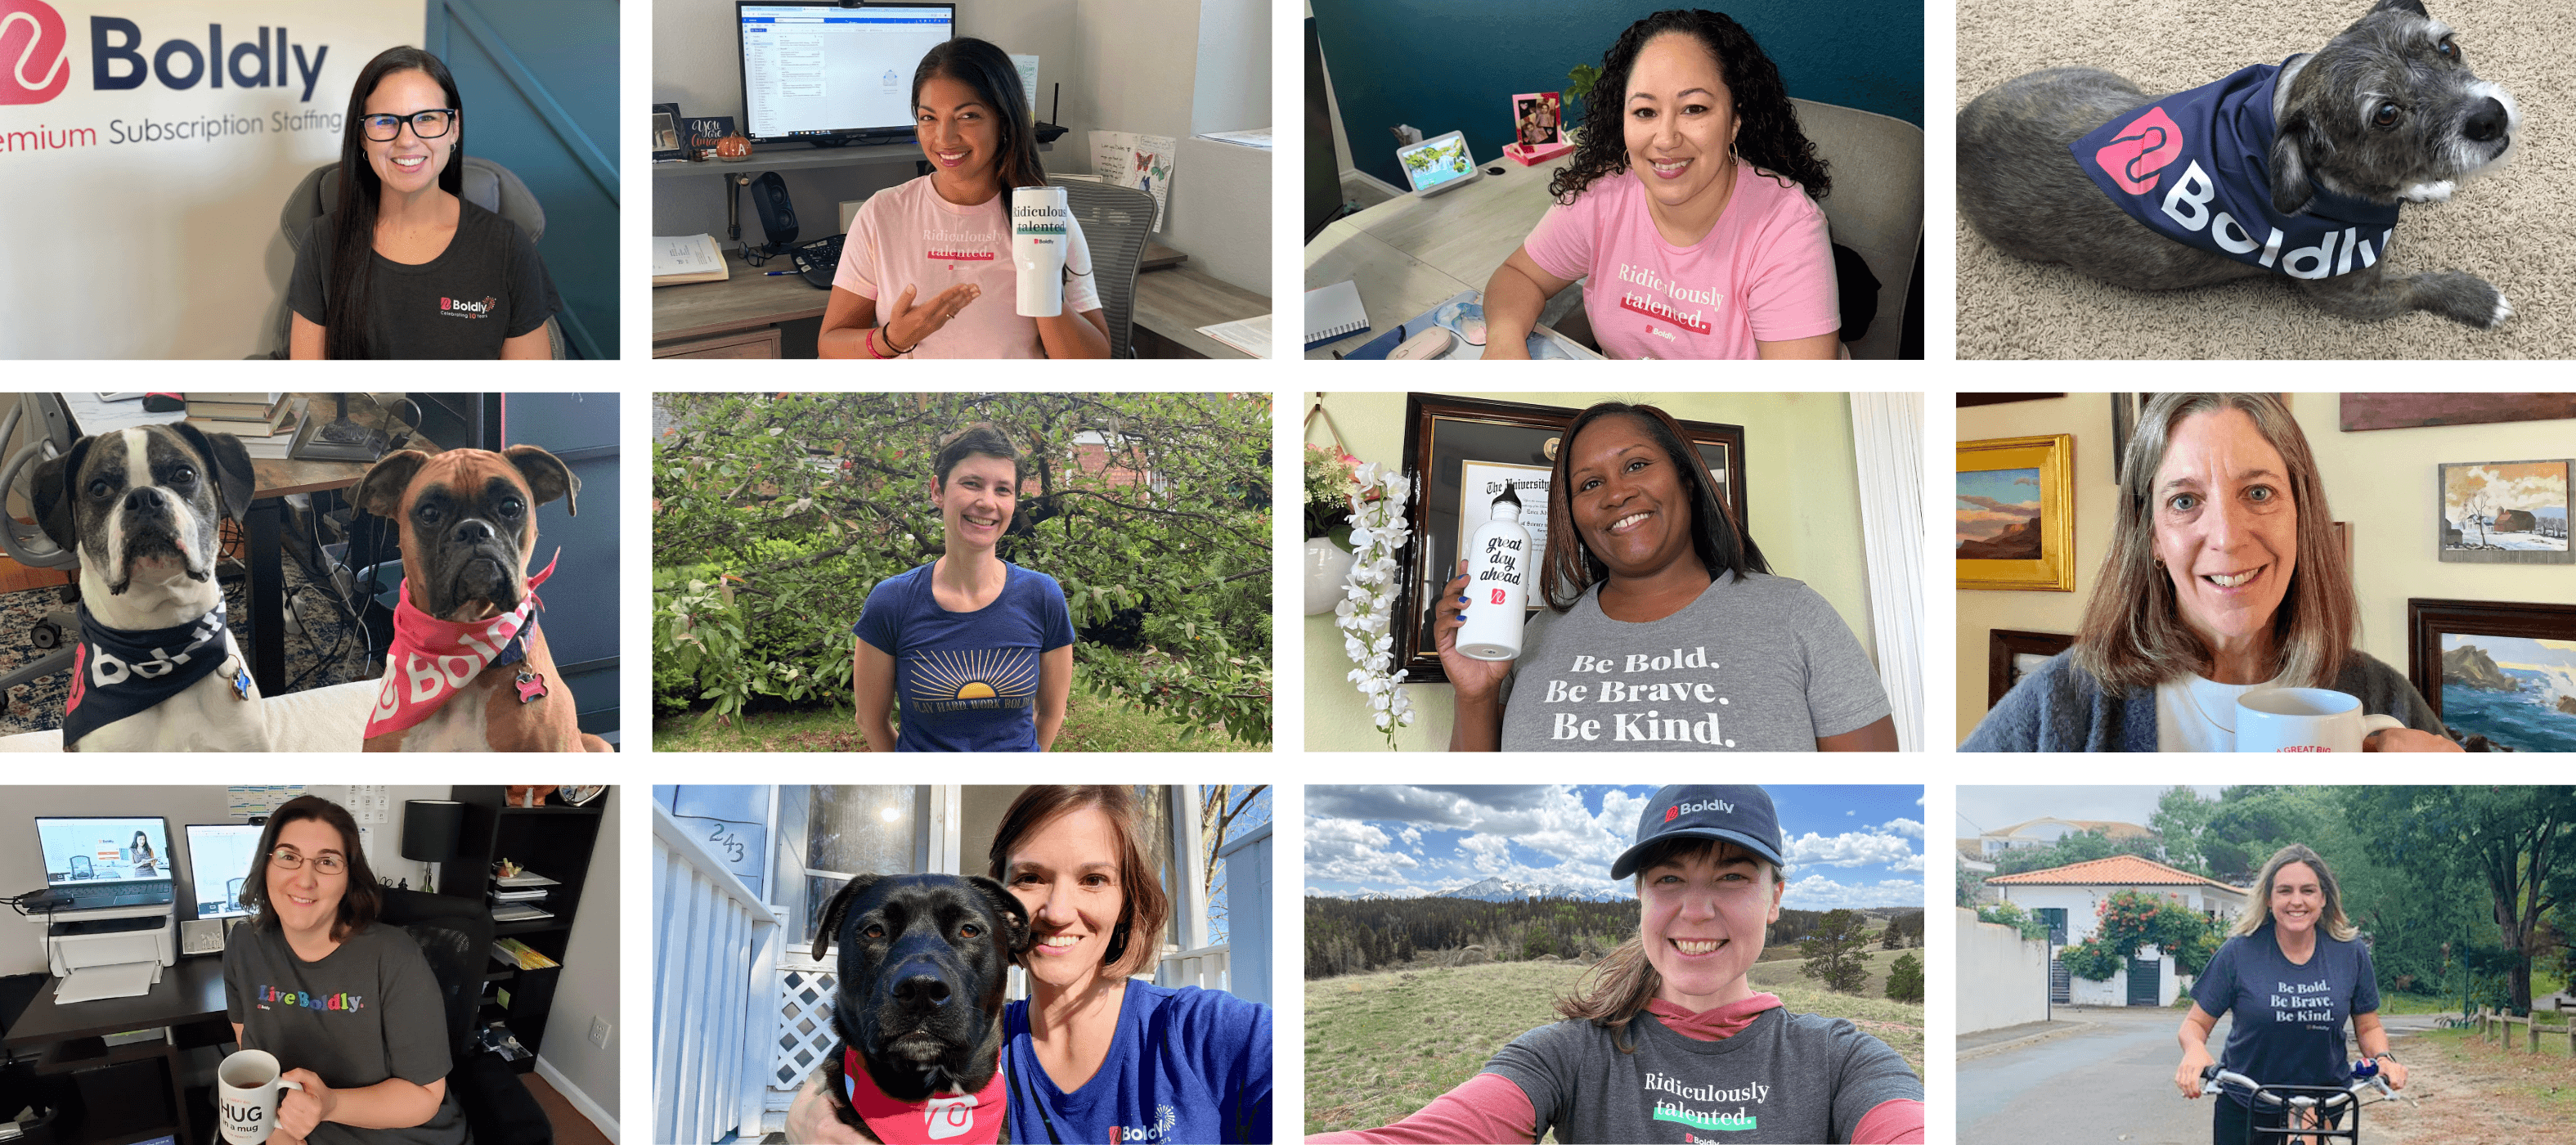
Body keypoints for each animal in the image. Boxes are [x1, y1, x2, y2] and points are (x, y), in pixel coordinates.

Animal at [1968, 1, 2514, 330]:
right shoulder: (2353, 295)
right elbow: (2418, 286)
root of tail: (1960, 127)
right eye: (2386, 114)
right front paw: (2477, 298)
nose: (2490, 117)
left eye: (2448, 47)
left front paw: (2427, 186)